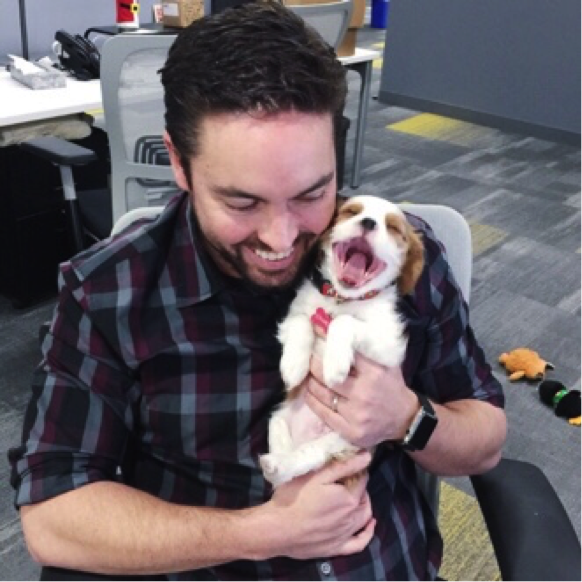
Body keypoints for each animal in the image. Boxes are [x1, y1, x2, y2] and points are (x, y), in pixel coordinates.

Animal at [262, 196, 426, 488]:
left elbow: (344, 323)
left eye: (393, 228)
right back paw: (275, 464)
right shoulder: (293, 317)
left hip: (344, 442)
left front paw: (334, 366)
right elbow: (304, 323)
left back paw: (277, 464)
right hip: (277, 420)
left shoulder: (389, 343)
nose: (368, 222)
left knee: (310, 457)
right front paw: (294, 367)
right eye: (351, 212)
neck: (342, 299)